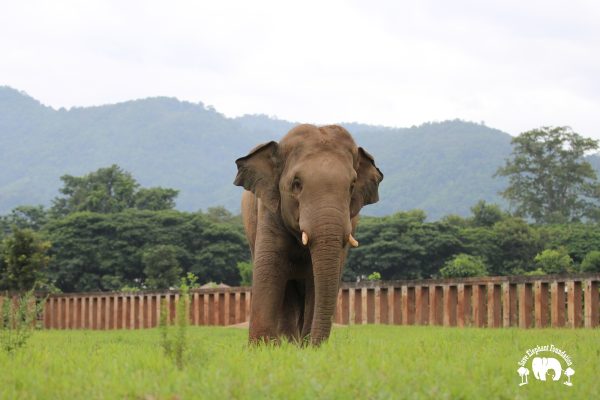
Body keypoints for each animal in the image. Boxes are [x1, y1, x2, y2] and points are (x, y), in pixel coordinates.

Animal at [232, 124, 382, 344]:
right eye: (296, 183)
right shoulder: (269, 210)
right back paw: (287, 341)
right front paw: (262, 347)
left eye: (352, 186)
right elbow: (269, 269)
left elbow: (316, 280)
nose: (314, 345)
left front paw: (306, 346)